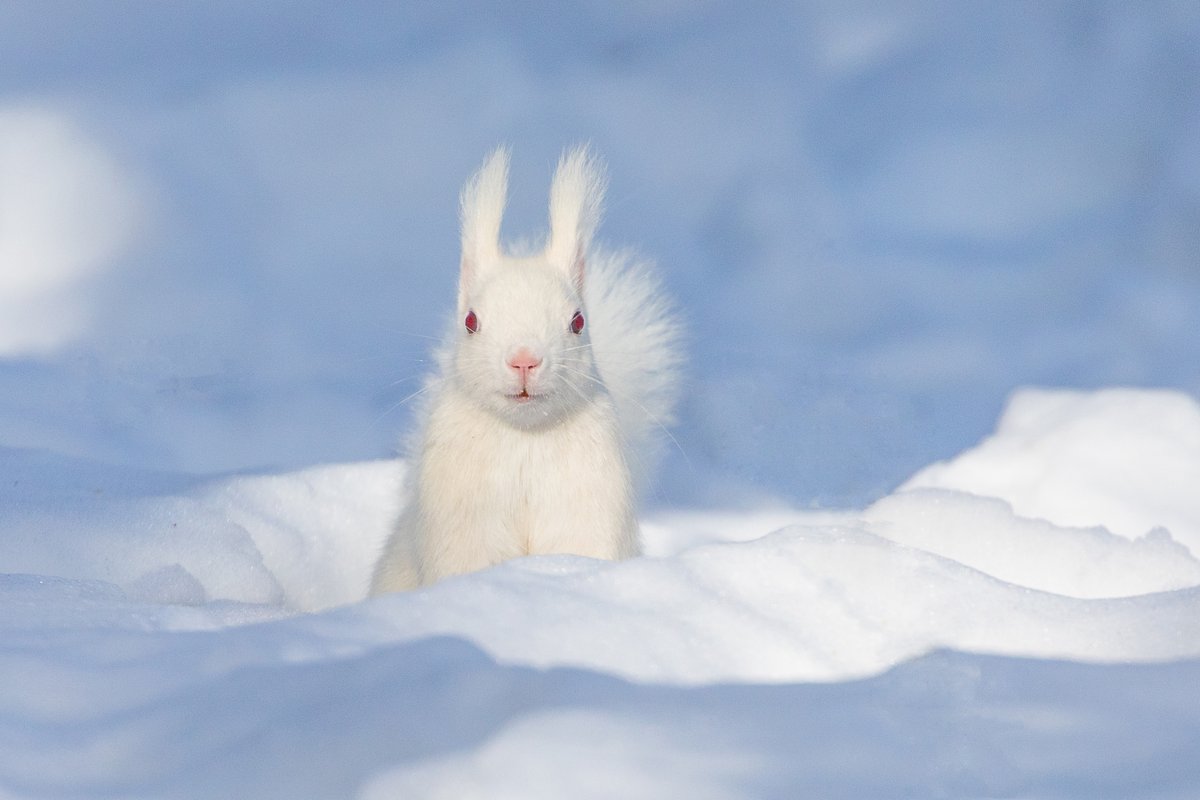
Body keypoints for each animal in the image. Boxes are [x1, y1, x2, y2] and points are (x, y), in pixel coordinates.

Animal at [369, 146, 681, 592]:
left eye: (578, 321)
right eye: (470, 320)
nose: (524, 360)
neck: (525, 439)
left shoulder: (588, 499)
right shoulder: (462, 514)